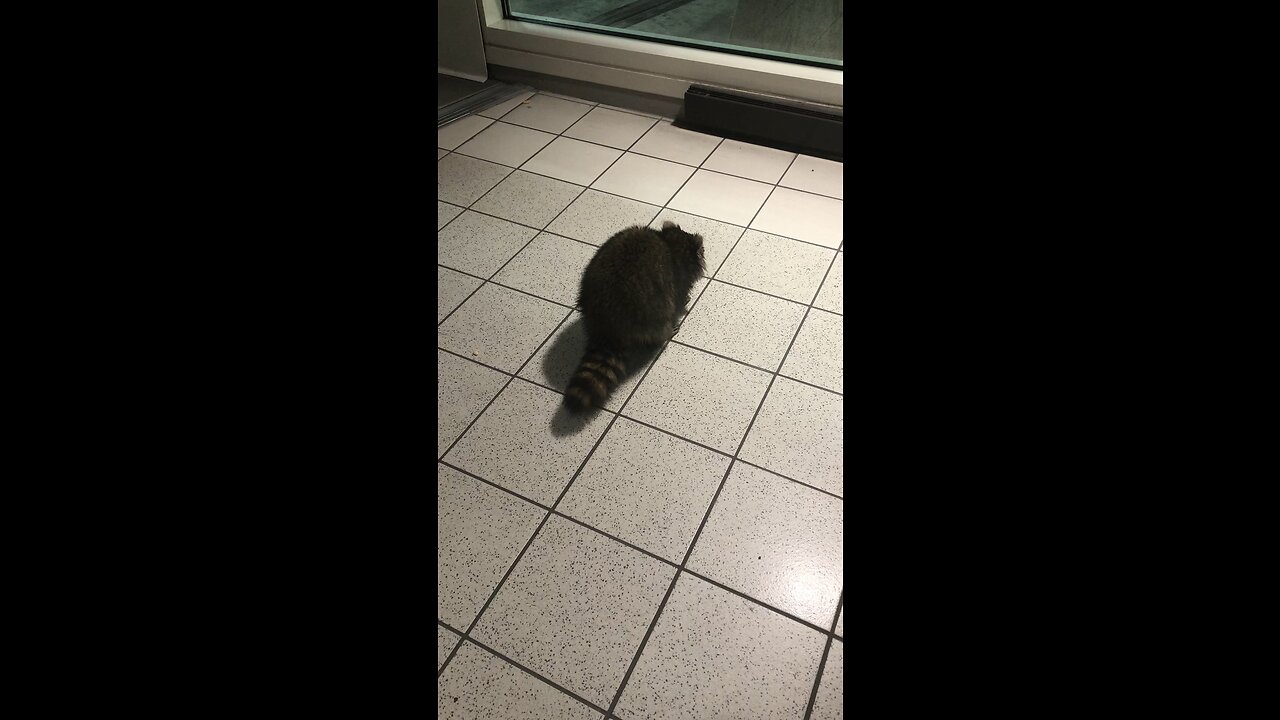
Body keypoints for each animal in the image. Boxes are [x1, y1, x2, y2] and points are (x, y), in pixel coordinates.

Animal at [568, 219, 711, 409]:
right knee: (661, 321)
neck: (670, 242)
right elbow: (680, 296)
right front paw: (684, 304)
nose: (704, 251)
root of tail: (606, 324)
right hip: (649, 311)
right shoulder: (678, 278)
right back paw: (664, 335)